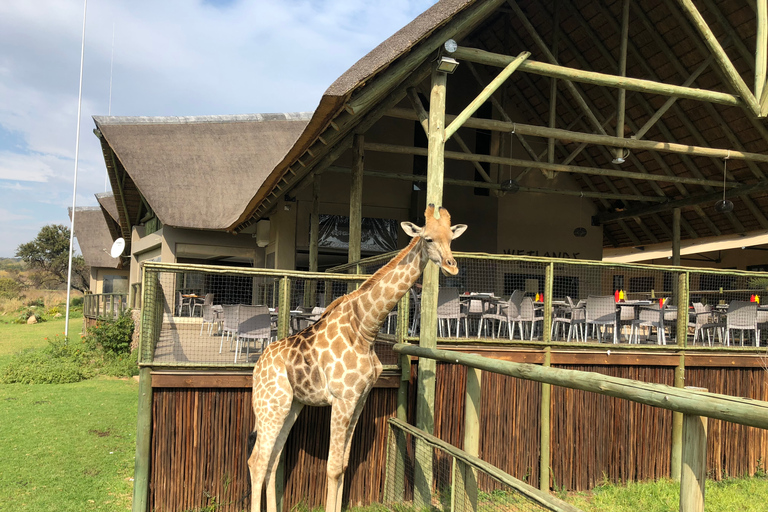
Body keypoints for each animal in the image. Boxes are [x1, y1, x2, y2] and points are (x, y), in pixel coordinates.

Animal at [249, 204, 464, 512]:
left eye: (451, 238)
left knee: (273, 460)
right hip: (270, 405)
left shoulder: (359, 399)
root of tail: (257, 367)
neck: (365, 329)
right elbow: (332, 468)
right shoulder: (342, 399)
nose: (451, 265)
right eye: (428, 239)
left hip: (291, 405)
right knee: (257, 461)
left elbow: (344, 465)